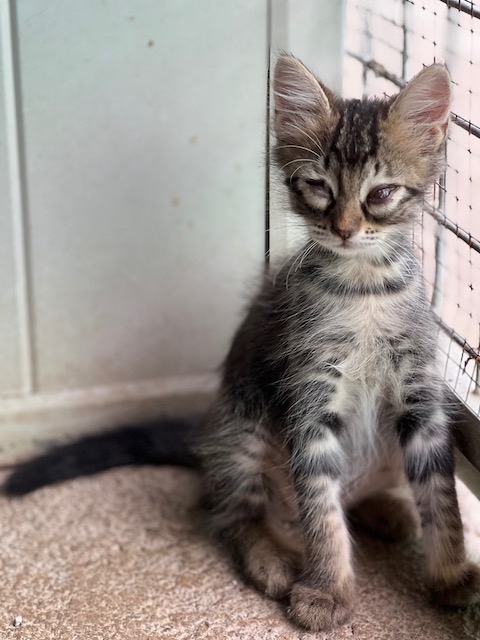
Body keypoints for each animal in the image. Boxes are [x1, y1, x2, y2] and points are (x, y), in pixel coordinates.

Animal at [5, 55, 480, 632]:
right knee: (238, 513)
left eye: (381, 193)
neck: (364, 288)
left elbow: (441, 495)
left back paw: (388, 510)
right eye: (319, 187)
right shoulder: (309, 397)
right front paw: (327, 592)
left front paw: (452, 574)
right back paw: (272, 558)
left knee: (352, 491)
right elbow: (320, 506)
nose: (345, 229)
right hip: (244, 425)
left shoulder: (420, 396)